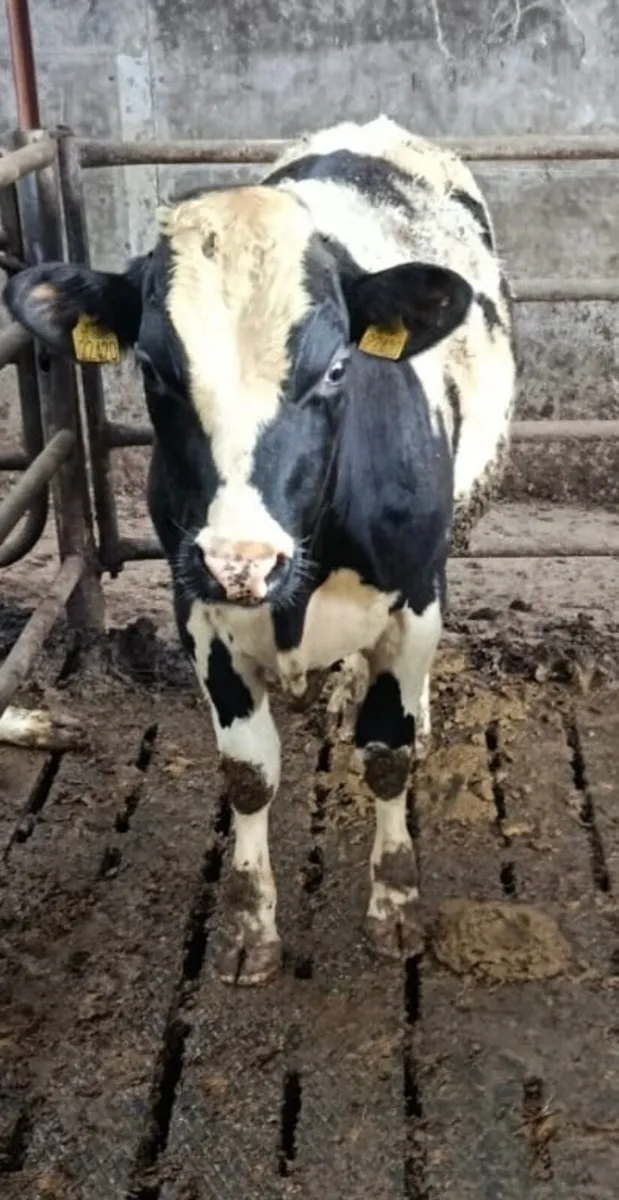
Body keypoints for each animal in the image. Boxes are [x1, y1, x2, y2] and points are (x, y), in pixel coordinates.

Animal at [4, 116, 516, 985]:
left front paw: (394, 904)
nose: (241, 560)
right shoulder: (197, 610)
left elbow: (386, 753)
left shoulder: (412, 594)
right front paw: (250, 926)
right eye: (154, 368)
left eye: (339, 366)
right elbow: (248, 773)